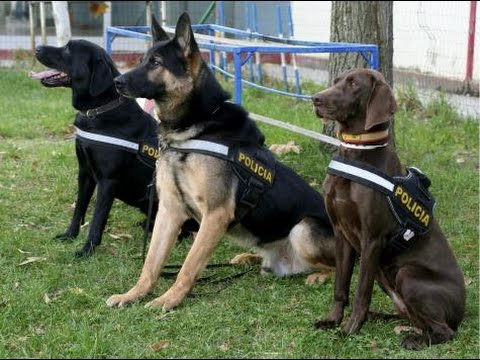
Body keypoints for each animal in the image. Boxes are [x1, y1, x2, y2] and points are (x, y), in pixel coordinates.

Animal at [32, 39, 163, 258]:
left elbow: (97, 218)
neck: (97, 111)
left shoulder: (107, 181)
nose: (37, 48)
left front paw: (86, 250)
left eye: (68, 49)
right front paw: (70, 235)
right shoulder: (84, 172)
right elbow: (79, 208)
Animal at [107, 14, 336, 310]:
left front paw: (168, 300)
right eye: (142, 59)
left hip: (303, 229)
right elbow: (151, 262)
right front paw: (133, 294)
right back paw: (249, 258)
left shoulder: (215, 214)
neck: (193, 130)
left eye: (156, 63)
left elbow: (188, 266)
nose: (117, 81)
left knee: (340, 266)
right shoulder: (169, 211)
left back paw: (320, 275)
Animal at [312, 67, 464, 348]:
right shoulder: (341, 234)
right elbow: (340, 287)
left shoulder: (371, 240)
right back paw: (381, 317)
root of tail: (463, 311)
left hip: (407, 274)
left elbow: (361, 292)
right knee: (408, 316)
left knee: (445, 332)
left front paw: (350, 329)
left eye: (353, 84)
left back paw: (415, 340)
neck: (356, 152)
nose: (315, 99)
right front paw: (333, 320)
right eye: (337, 81)